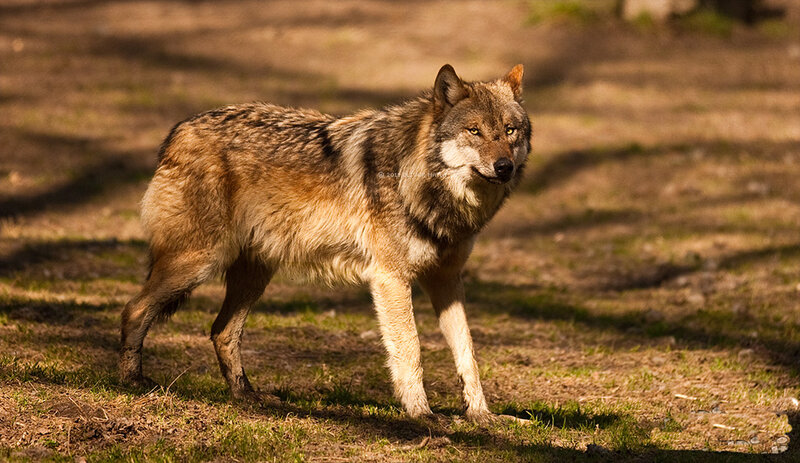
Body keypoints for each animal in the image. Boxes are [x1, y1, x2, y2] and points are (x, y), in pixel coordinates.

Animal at [120, 64, 532, 422]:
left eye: (510, 130)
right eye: (474, 131)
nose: (504, 167)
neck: (423, 186)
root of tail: (179, 130)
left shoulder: (446, 280)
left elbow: (468, 353)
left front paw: (482, 417)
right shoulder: (390, 278)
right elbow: (410, 349)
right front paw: (422, 414)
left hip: (253, 276)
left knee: (222, 332)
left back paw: (247, 397)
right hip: (198, 263)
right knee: (134, 309)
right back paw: (132, 383)